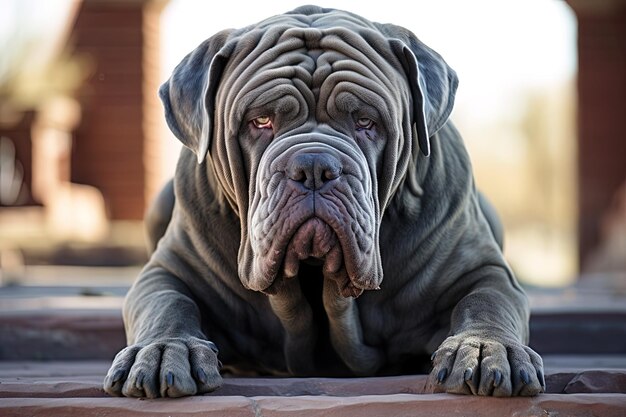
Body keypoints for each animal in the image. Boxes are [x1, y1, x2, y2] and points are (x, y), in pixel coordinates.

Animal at [102, 5, 540, 396]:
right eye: (260, 121)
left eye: (366, 121)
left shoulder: (482, 269)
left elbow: (486, 300)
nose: (313, 167)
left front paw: (485, 349)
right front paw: (164, 352)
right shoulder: (170, 270)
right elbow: (168, 304)